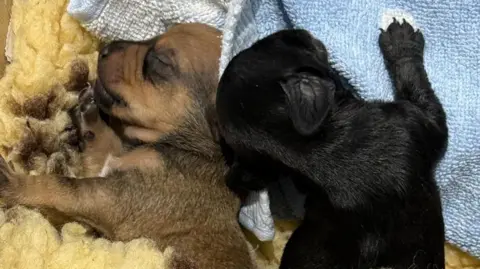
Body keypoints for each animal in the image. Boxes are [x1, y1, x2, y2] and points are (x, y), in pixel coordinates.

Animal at [0, 23, 256, 268]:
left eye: (160, 61)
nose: (105, 48)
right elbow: (102, 152)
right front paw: (92, 117)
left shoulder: (119, 197)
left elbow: (61, 185)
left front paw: (14, 183)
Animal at [216, 19, 448, 268]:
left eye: (261, 44)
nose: (299, 31)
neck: (308, 146)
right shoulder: (419, 122)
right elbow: (416, 83)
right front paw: (401, 41)